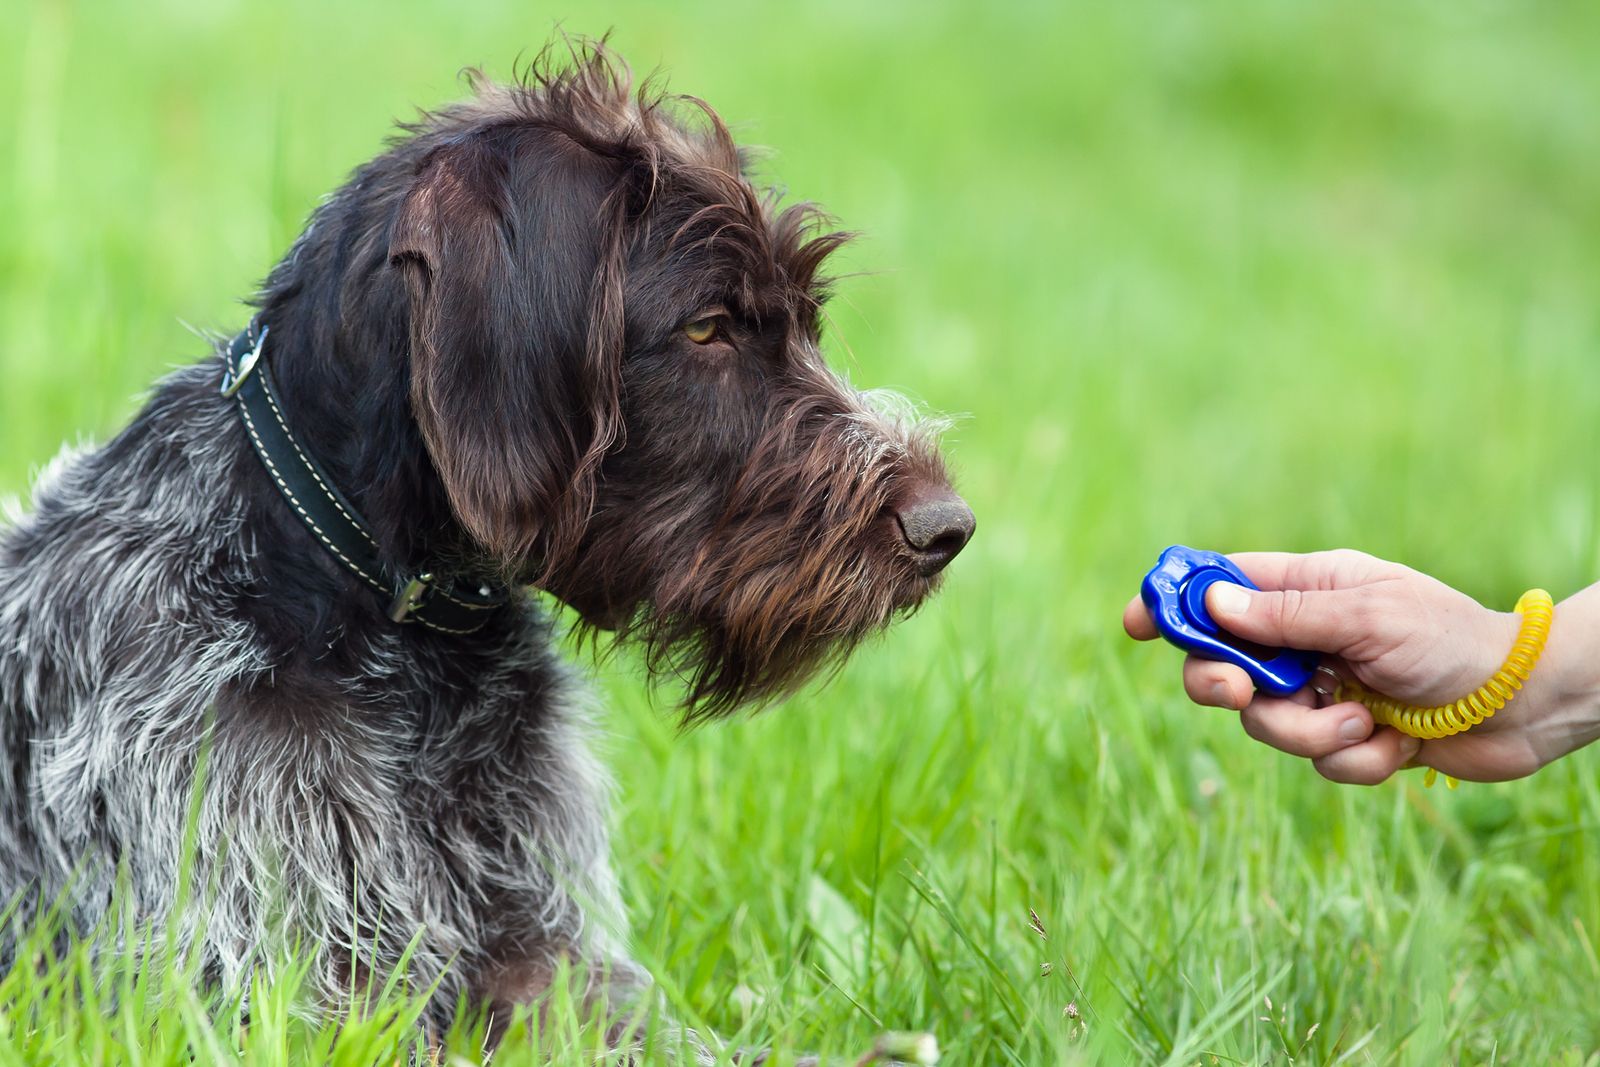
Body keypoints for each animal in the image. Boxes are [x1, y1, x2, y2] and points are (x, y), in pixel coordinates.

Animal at [0, 43, 972, 1062]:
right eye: (708, 325)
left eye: (807, 323)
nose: (947, 526)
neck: (393, 637)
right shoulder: (278, 989)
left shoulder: (545, 951)